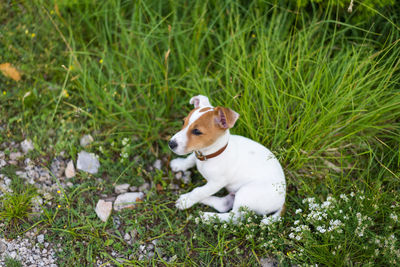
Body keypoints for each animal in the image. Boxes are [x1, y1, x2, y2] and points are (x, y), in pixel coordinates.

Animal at [167, 95, 286, 223]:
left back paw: (208, 217)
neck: (210, 155)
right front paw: (180, 164)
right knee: (224, 205)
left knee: (233, 217)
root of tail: (283, 200)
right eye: (183, 122)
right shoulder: (198, 154)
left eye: (197, 131)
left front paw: (187, 201)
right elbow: (190, 159)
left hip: (246, 193)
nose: (171, 144)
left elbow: (198, 191)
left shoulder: (216, 183)